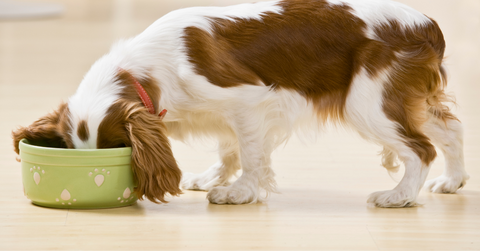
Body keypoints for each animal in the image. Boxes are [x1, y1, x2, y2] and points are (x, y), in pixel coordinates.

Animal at [11, 0, 468, 207]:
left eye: (118, 149)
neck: (146, 70)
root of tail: (427, 24)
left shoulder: (247, 101)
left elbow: (250, 154)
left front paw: (239, 192)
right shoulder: (225, 115)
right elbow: (229, 148)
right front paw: (215, 177)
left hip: (368, 103)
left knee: (420, 148)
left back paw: (399, 196)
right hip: (406, 98)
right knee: (450, 130)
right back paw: (453, 181)